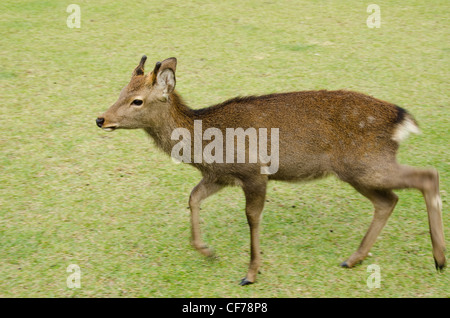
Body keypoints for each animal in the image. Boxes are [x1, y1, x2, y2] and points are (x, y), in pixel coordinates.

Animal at [96, 55, 444, 286]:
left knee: (426, 176)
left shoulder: (254, 171)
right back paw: (353, 258)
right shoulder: (220, 175)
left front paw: (250, 273)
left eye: (137, 100)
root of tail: (400, 118)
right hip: (358, 170)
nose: (101, 118)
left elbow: (252, 217)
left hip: (366, 164)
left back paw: (439, 258)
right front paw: (207, 251)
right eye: (121, 92)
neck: (203, 144)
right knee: (388, 200)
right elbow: (193, 198)